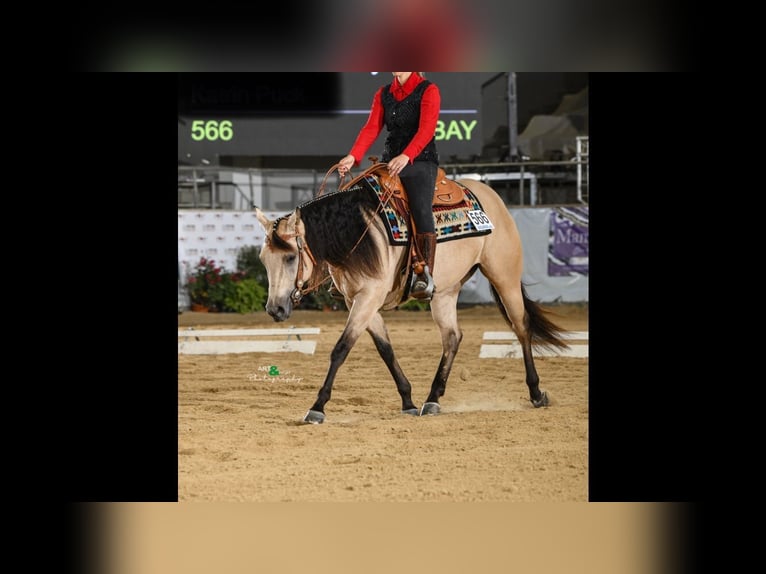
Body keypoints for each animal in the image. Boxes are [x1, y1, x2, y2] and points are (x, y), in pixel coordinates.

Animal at [258, 164, 568, 426]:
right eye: (263, 259)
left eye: (290, 257)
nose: (274, 309)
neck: (359, 231)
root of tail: (492, 197)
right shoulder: (358, 300)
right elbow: (385, 348)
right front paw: (408, 400)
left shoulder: (368, 297)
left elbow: (341, 348)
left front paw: (317, 407)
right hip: (445, 291)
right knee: (452, 337)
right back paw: (432, 399)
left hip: (505, 277)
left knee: (521, 326)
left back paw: (536, 393)